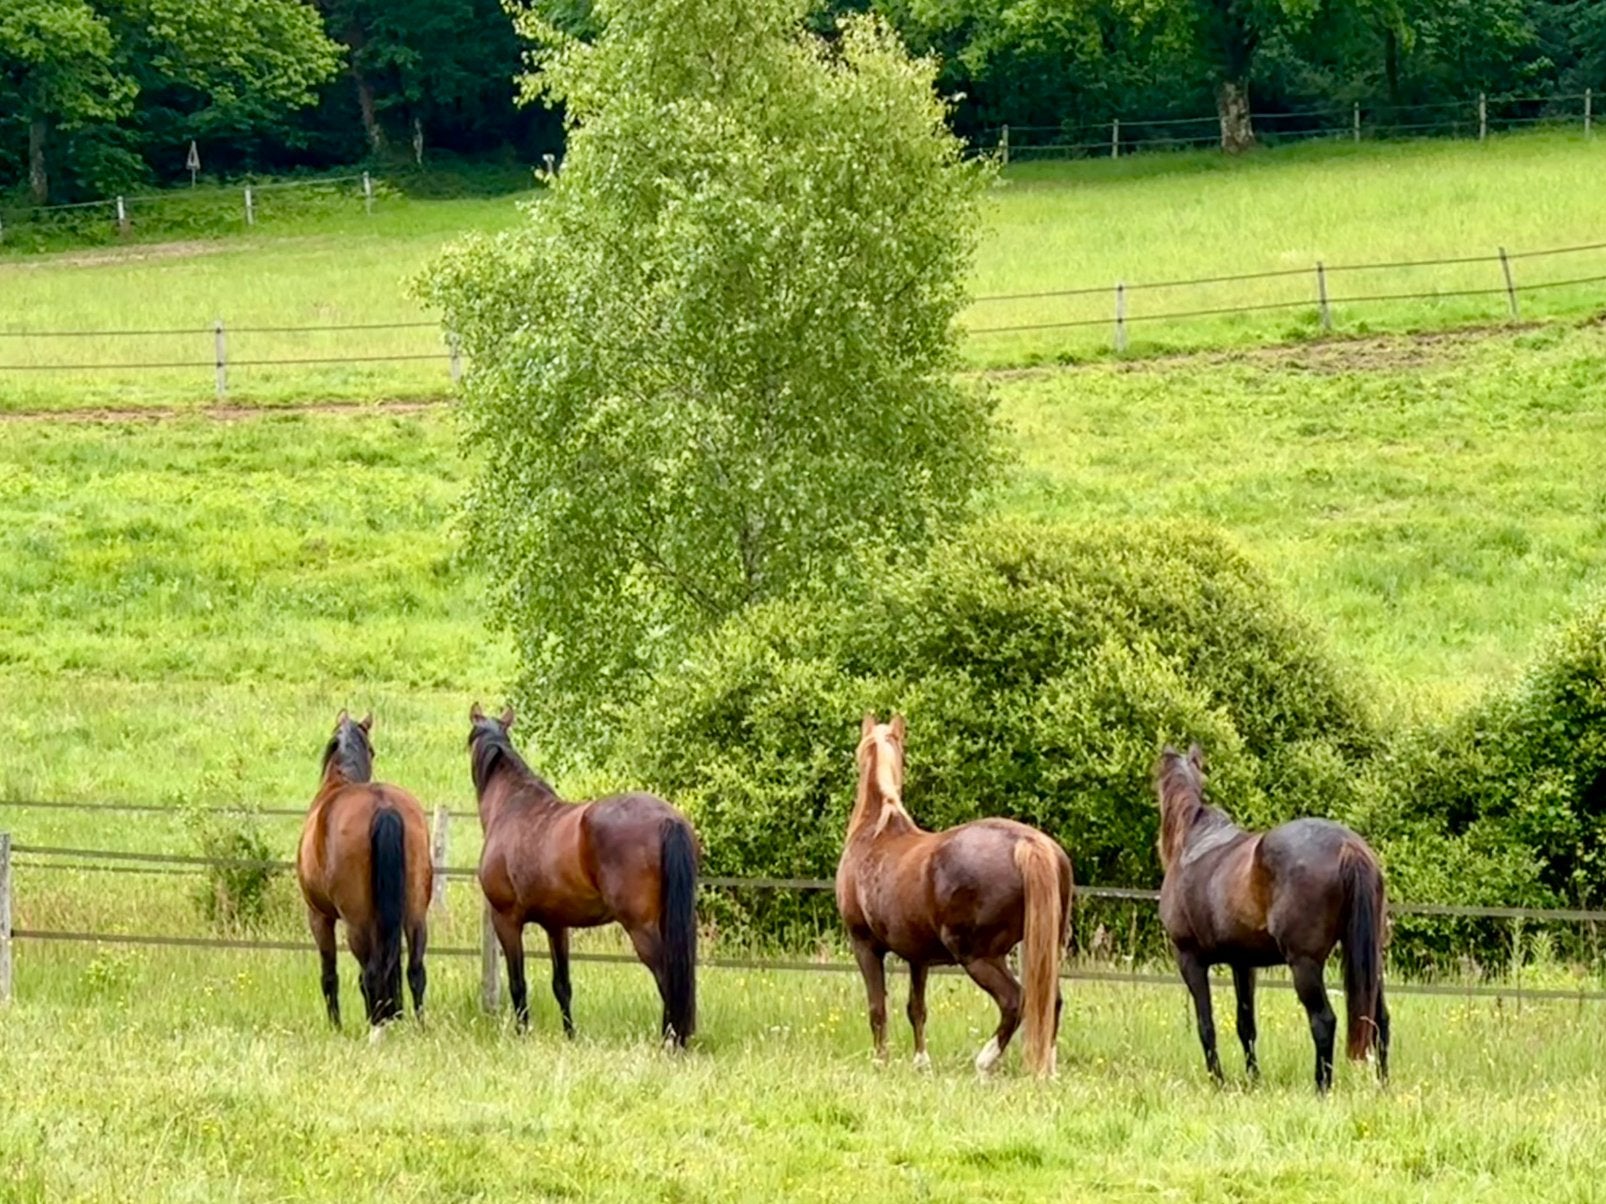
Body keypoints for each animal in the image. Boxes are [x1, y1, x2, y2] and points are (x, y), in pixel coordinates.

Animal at [296, 710, 433, 1028]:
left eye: (372, 750)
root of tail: (384, 806)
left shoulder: (319, 916)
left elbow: (330, 975)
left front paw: (336, 1026)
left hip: (356, 922)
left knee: (370, 973)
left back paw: (376, 1025)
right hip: (414, 912)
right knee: (414, 970)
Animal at [467, 704, 700, 1045]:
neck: (511, 805)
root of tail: (668, 819)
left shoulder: (506, 920)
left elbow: (518, 984)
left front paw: (522, 1035)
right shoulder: (556, 925)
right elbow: (562, 985)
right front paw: (570, 1036)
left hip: (641, 928)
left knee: (667, 978)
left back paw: (670, 1041)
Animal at [836, 713, 1074, 1077]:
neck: (875, 831)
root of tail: (1029, 843)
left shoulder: (864, 945)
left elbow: (878, 1008)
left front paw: (880, 1061)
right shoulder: (918, 956)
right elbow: (916, 1008)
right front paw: (921, 1062)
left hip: (979, 956)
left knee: (1015, 1001)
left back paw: (985, 1062)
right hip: (1045, 950)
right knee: (1050, 1001)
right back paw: (1047, 1070)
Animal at [1154, 744, 1389, 1092]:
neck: (1192, 843)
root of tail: (1349, 846)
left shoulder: (1190, 959)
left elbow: (1206, 1025)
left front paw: (1218, 1081)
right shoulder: (1242, 964)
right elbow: (1245, 1025)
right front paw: (1253, 1080)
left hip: (1304, 964)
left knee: (1324, 1021)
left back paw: (1322, 1087)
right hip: (1370, 958)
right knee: (1380, 1020)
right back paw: (1383, 1086)